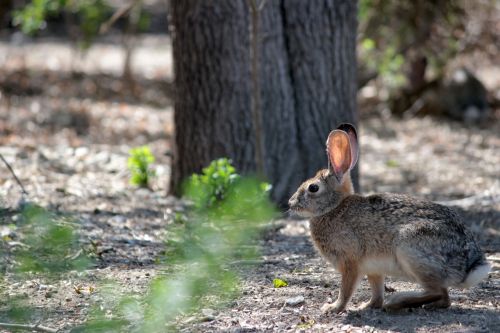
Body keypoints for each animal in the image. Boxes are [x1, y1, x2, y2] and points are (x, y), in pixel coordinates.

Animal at [288, 123, 490, 312]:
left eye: (313, 188)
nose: (291, 203)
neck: (334, 208)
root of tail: (467, 267)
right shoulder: (373, 269)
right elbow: (376, 290)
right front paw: (367, 306)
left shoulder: (350, 262)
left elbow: (346, 289)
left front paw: (333, 308)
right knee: (444, 298)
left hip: (409, 249)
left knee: (439, 292)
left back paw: (397, 302)